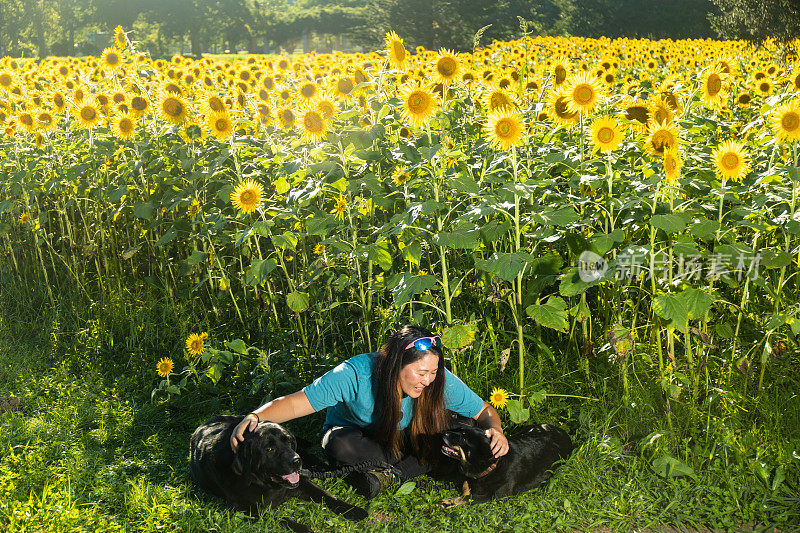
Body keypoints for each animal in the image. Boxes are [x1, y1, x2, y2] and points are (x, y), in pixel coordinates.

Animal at [191, 414, 368, 528]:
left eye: (288, 442)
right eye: (269, 449)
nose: (296, 461)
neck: (265, 484)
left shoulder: (303, 483)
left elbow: (328, 496)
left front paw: (354, 510)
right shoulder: (244, 509)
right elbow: (281, 519)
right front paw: (303, 528)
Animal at [438, 420, 576, 508]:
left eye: (463, 438)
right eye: (459, 430)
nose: (444, 433)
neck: (492, 467)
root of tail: (563, 432)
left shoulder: (496, 496)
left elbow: (468, 498)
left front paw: (447, 502)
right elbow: (466, 487)